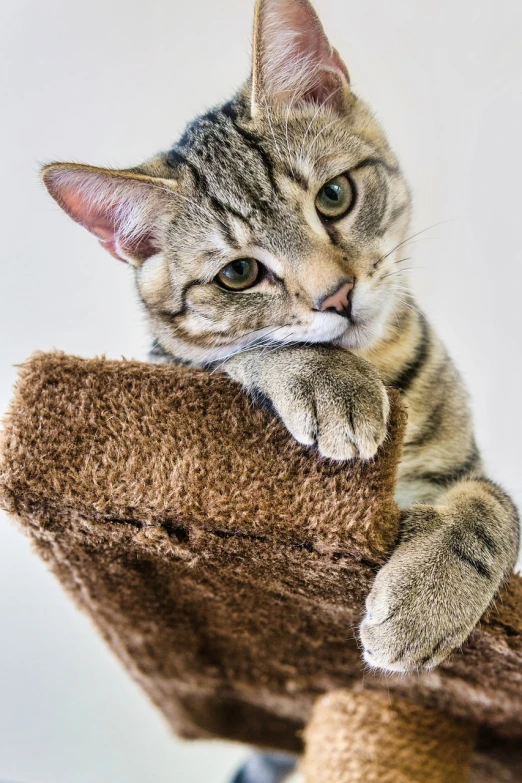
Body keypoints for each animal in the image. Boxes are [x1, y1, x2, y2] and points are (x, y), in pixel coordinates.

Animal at [40, 0, 516, 676]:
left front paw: (429, 597)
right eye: (238, 274)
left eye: (334, 196)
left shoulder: (458, 466)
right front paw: (327, 380)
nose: (336, 296)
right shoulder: (167, 364)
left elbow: (494, 506)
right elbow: (237, 354)